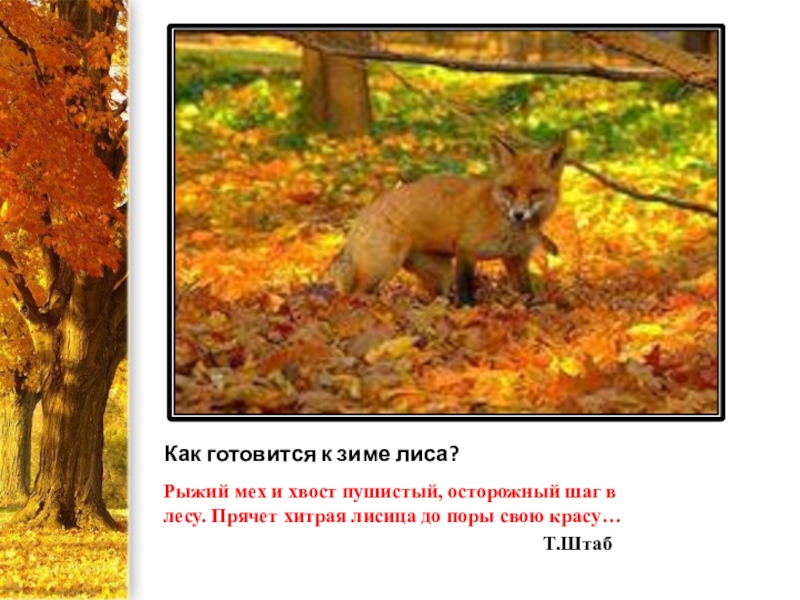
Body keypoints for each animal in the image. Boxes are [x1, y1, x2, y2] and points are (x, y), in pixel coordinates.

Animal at [328, 135, 567, 306]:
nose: (518, 214)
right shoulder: (467, 250)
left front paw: (531, 310)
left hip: (440, 273)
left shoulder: (516, 259)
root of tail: (362, 213)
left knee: (436, 296)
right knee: (354, 294)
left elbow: (526, 293)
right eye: (509, 189)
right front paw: (469, 312)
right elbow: (466, 290)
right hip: (383, 267)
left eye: (536, 192)